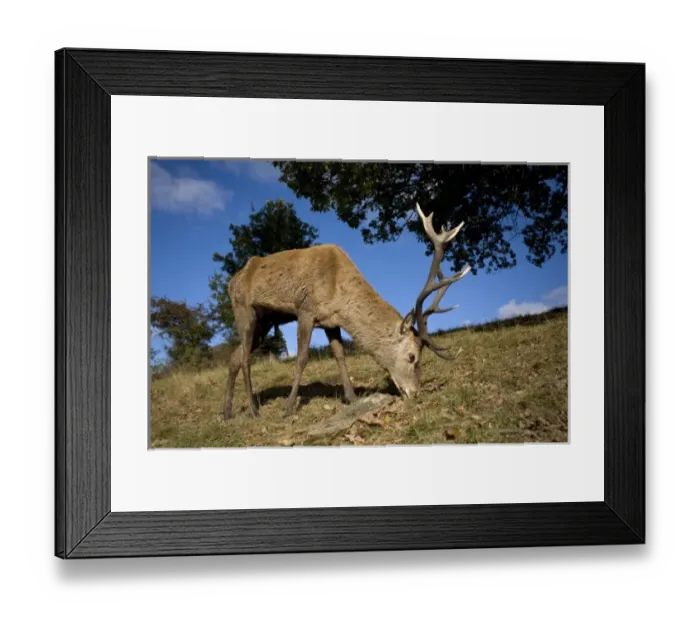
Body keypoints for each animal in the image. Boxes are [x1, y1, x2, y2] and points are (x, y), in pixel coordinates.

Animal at [222, 203, 472, 420]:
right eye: (412, 357)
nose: (415, 392)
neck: (338, 292)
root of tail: (231, 281)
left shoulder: (330, 321)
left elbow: (340, 356)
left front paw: (352, 398)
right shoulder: (305, 309)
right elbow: (302, 357)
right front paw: (289, 406)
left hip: (265, 320)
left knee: (234, 357)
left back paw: (227, 413)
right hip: (243, 309)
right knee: (244, 358)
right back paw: (253, 409)